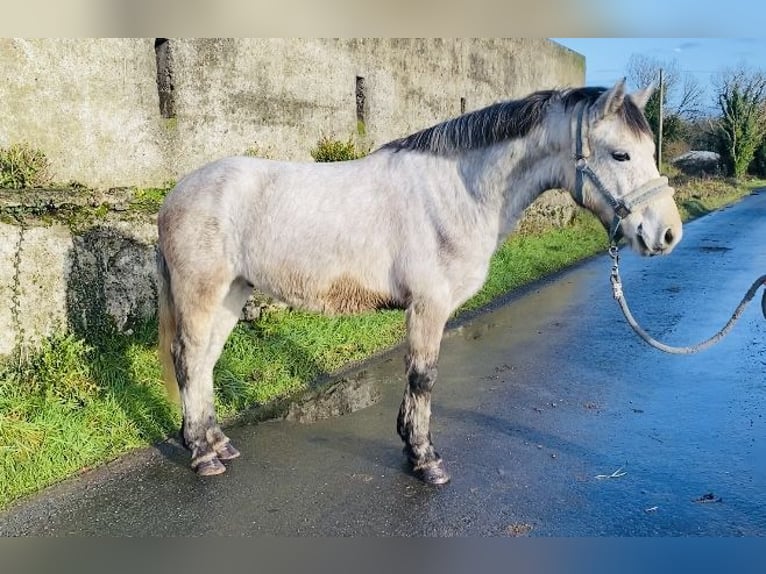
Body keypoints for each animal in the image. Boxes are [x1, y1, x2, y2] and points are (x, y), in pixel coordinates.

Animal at [158, 80, 684, 486]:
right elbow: (422, 377)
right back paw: (202, 455)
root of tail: (177, 193)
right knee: (188, 359)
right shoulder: (429, 304)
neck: (456, 191)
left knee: (205, 362)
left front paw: (412, 446)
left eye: (650, 151)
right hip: (202, 291)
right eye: (621, 154)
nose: (667, 234)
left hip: (232, 292)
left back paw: (217, 443)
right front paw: (425, 460)